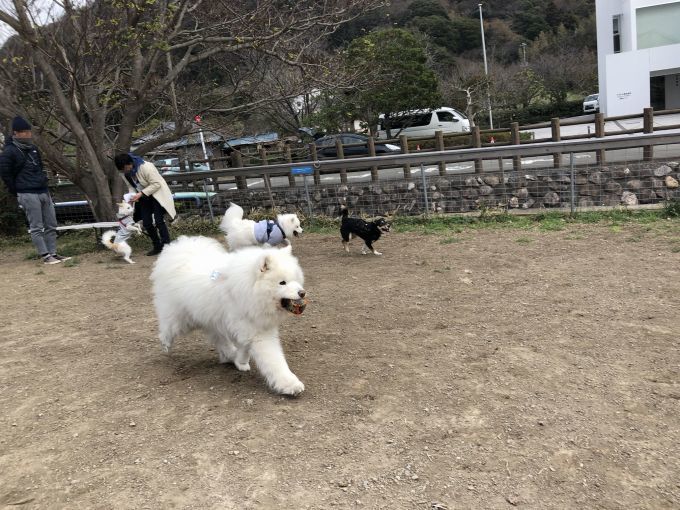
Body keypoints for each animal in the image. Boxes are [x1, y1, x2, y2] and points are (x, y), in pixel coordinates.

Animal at [151, 236, 308, 398]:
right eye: (282, 282)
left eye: (296, 280)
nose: (302, 293)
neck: (250, 290)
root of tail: (179, 254)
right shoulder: (255, 332)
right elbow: (275, 360)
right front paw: (290, 384)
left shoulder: (252, 328)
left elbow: (245, 348)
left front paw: (241, 362)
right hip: (182, 320)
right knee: (167, 329)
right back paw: (166, 345)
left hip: (213, 321)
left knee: (220, 341)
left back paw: (229, 356)